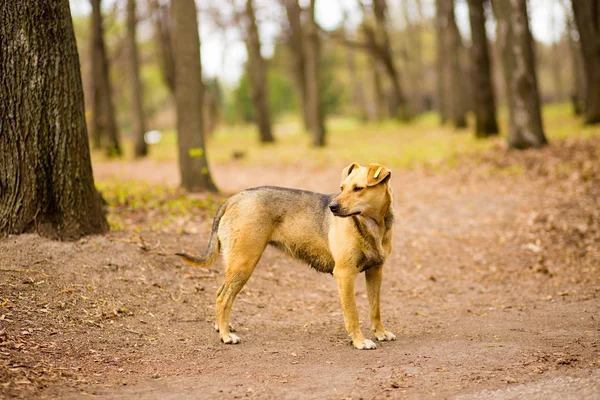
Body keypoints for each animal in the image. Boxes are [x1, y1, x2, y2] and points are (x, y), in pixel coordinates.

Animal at [176, 162, 396, 350]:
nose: (332, 207)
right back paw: (225, 336)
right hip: (243, 263)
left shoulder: (376, 272)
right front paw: (360, 341)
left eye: (358, 188)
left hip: (237, 264)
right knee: (223, 297)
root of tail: (234, 198)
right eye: (342, 187)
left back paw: (222, 327)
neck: (372, 225)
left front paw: (381, 333)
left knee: (219, 293)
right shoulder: (345, 274)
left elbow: (375, 308)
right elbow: (352, 313)